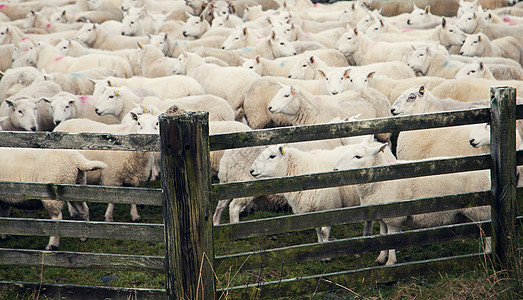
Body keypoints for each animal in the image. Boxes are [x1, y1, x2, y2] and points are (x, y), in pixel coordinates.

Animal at [336, 141, 492, 264]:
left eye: (358, 156)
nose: (335, 169)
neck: (379, 181)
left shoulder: (394, 218)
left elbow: (391, 239)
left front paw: (390, 262)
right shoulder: (382, 216)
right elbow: (382, 236)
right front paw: (381, 258)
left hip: (481, 208)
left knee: (488, 232)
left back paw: (487, 253)